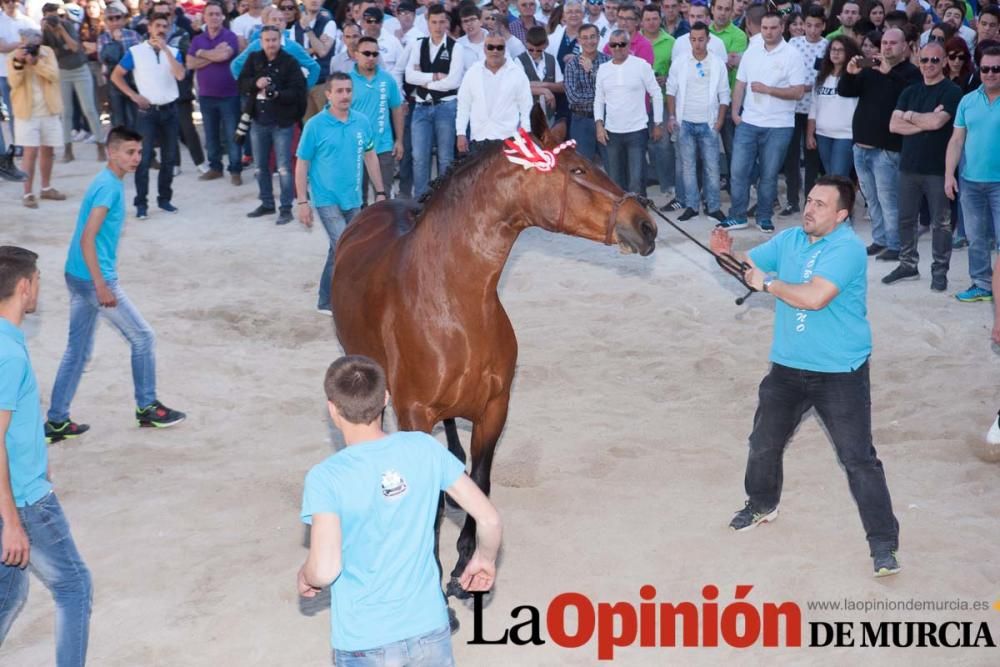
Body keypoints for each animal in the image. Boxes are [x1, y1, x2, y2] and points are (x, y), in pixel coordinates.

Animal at [328, 116, 656, 600]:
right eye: (578, 170)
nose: (646, 225)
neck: (452, 300)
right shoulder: (415, 414)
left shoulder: (494, 408)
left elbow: (479, 481)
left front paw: (466, 562)